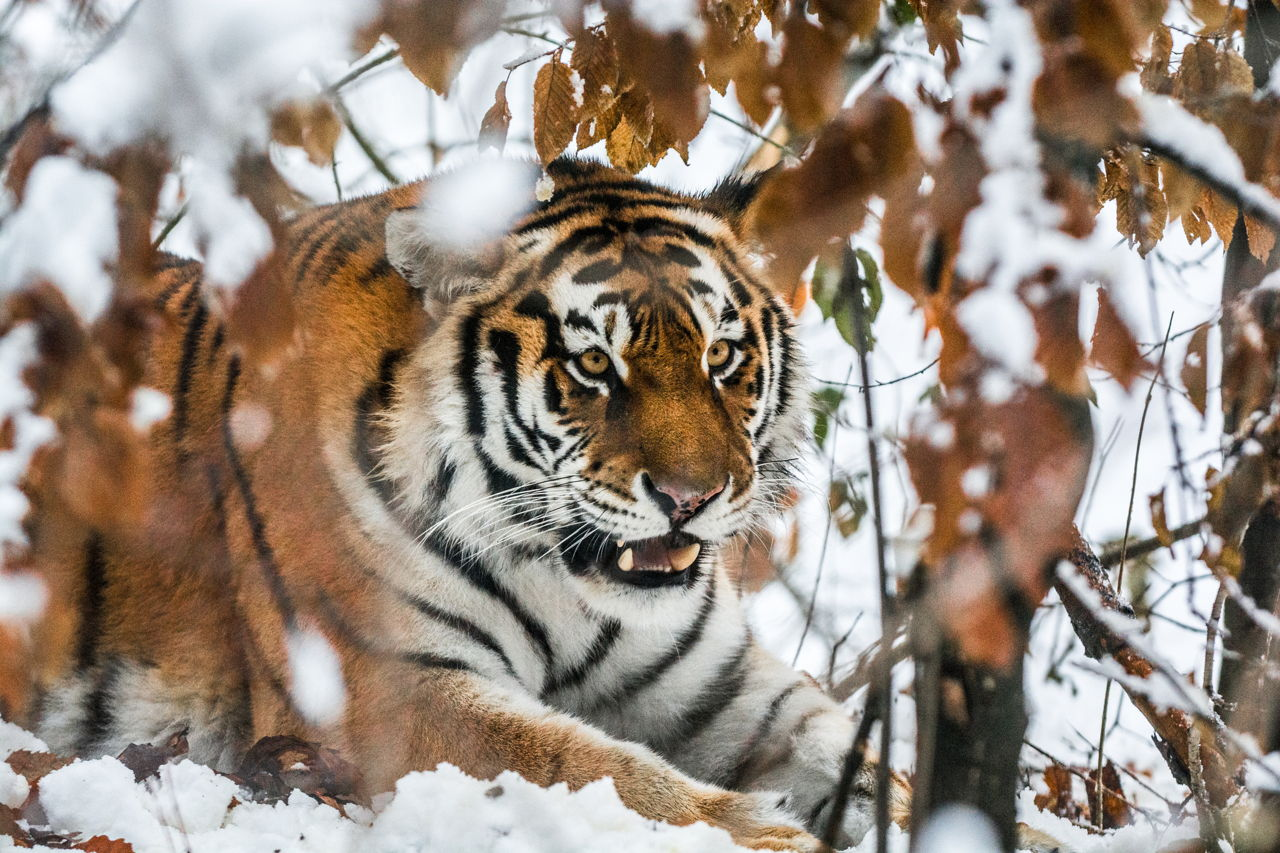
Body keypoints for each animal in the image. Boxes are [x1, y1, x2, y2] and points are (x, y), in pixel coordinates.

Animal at [17, 157, 911, 845]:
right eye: (593, 365)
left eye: (721, 356)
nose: (691, 496)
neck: (564, 580)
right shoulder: (385, 689)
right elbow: (595, 767)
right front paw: (766, 832)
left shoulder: (718, 686)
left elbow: (850, 751)